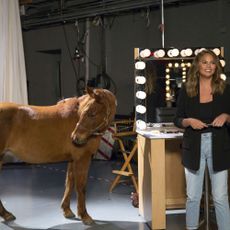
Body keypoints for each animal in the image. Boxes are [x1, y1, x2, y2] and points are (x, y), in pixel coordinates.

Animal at [0, 87, 117, 224]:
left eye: (92, 114)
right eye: (85, 112)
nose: (75, 138)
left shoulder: (73, 160)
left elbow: (69, 183)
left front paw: (67, 210)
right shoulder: (83, 159)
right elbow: (81, 187)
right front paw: (85, 216)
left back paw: (6, 214)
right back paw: (6, 214)